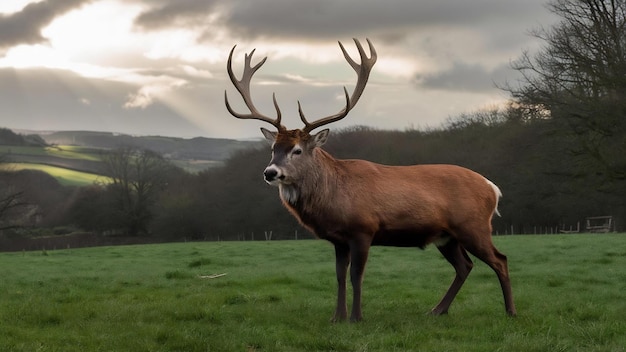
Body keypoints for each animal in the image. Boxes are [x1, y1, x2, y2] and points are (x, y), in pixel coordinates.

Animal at [222, 38, 516, 322]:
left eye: (297, 150)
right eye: (274, 148)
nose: (270, 173)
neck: (333, 199)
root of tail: (493, 188)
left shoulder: (363, 229)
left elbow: (356, 276)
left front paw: (356, 317)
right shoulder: (338, 239)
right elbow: (339, 276)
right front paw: (337, 317)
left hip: (473, 225)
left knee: (500, 259)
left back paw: (510, 312)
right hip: (447, 236)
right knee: (465, 266)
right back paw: (437, 310)